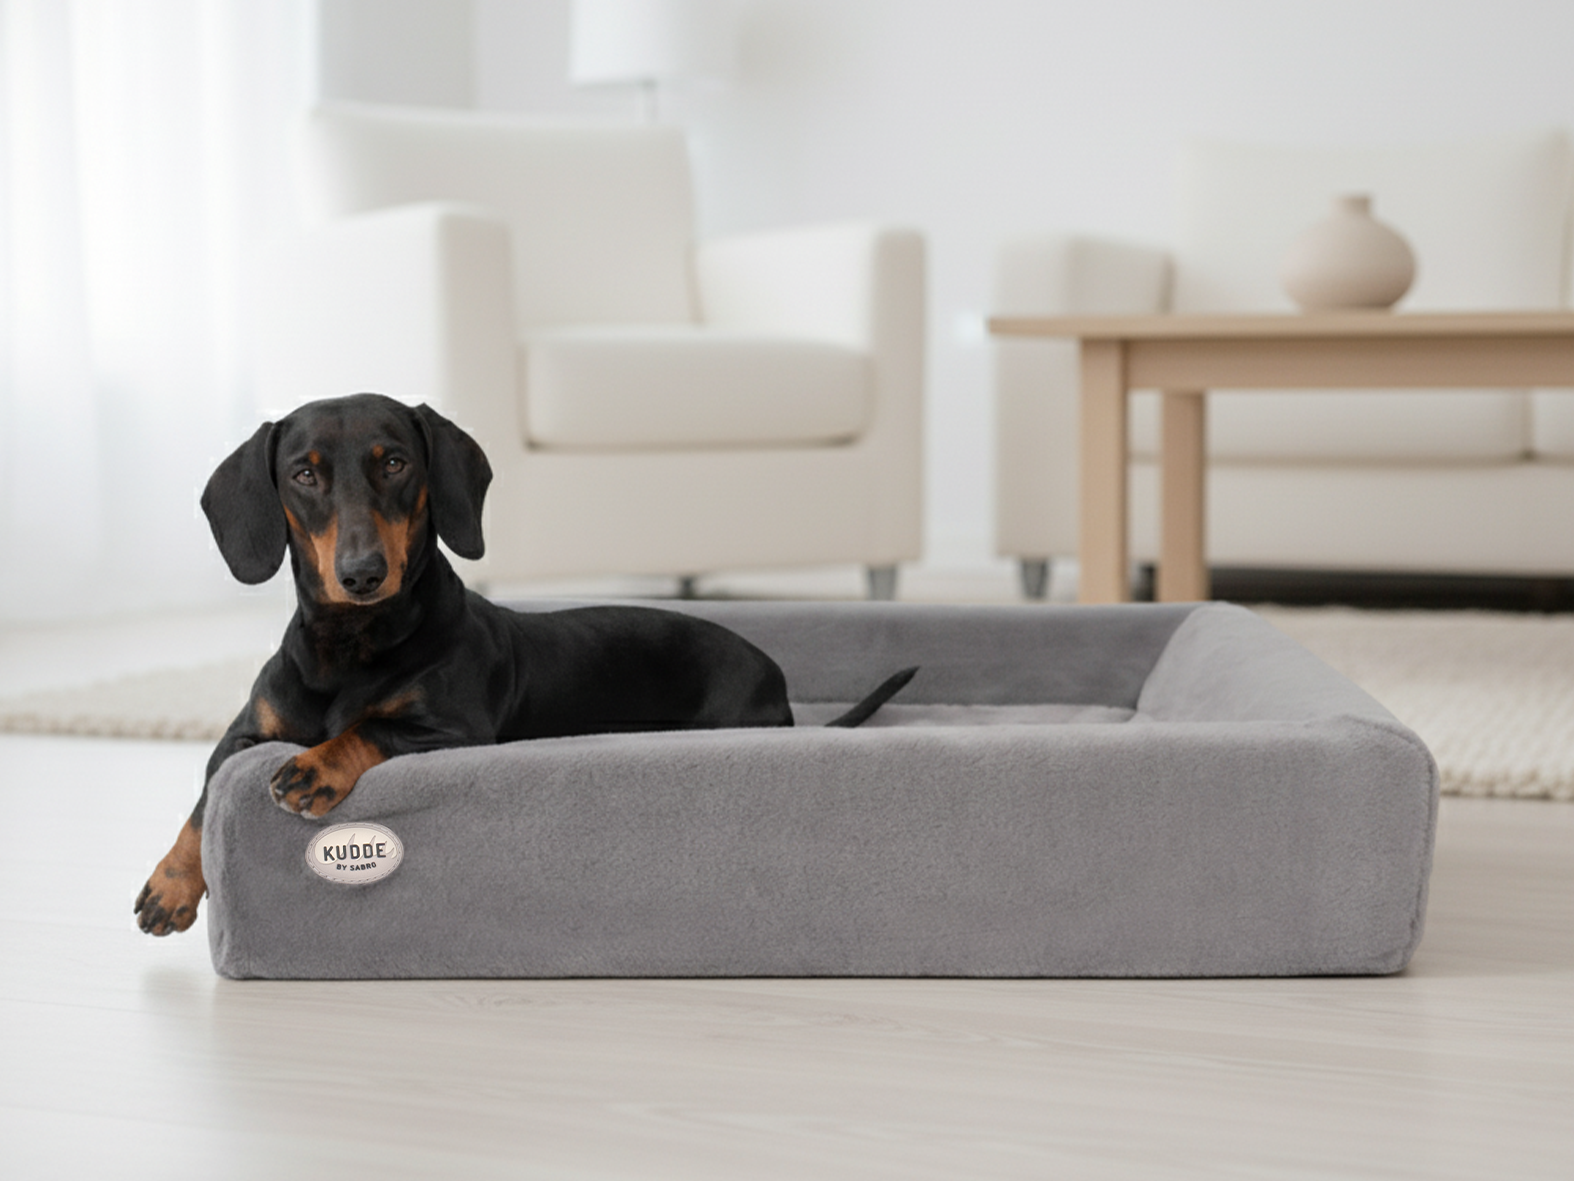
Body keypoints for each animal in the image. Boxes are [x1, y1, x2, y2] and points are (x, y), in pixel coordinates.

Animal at [135, 393, 915, 935]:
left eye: (395, 462)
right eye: (304, 474)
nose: (362, 573)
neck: (349, 647)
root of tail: (775, 678)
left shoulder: (451, 729)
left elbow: (366, 729)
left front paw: (314, 767)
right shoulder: (242, 733)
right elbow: (204, 802)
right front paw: (170, 885)